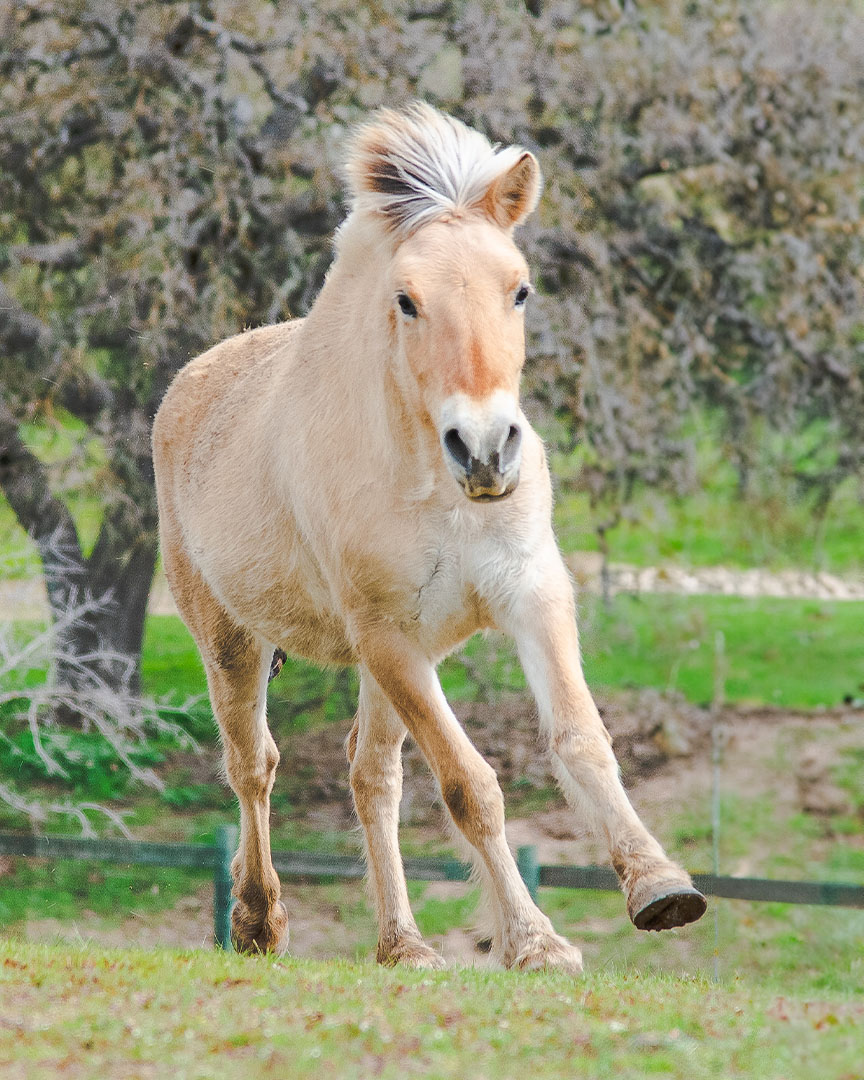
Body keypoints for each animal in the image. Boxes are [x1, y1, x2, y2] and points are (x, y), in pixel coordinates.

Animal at [152, 103, 706, 972]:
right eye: (407, 300)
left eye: (521, 289)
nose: (485, 450)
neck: (436, 491)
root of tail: (189, 385)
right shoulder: (388, 639)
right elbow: (469, 786)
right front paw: (534, 943)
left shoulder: (532, 597)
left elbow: (581, 738)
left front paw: (657, 885)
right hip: (233, 642)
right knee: (253, 768)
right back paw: (258, 921)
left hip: (381, 669)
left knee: (369, 775)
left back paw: (402, 945)